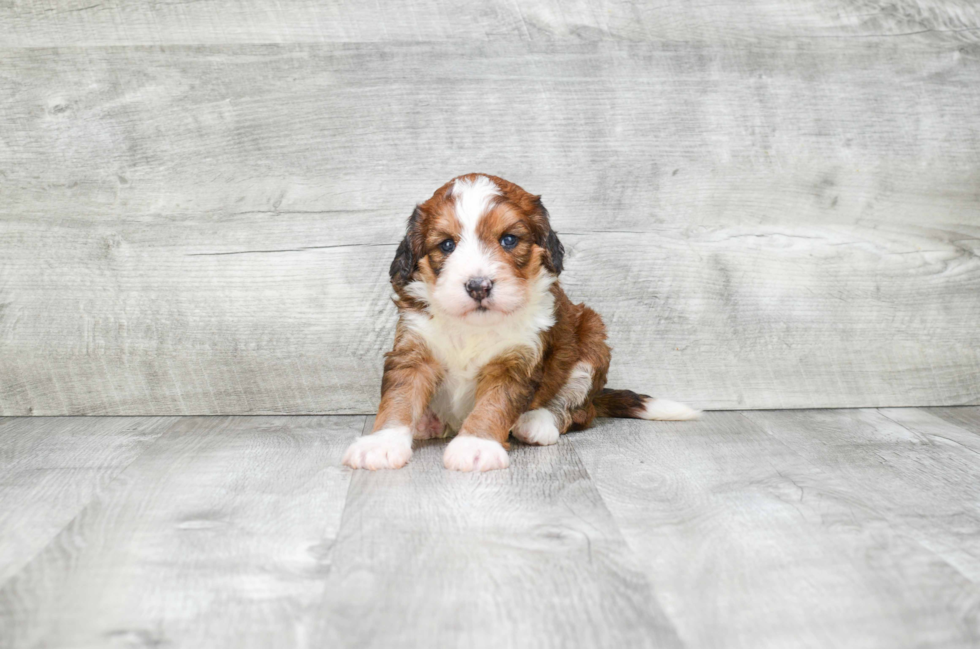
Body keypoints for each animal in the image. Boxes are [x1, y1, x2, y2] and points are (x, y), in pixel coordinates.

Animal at [344, 175, 696, 474]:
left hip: (592, 339)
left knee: (579, 410)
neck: (473, 326)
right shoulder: (413, 349)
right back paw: (428, 422)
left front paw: (475, 446)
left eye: (509, 240)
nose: (479, 286)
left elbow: (494, 404)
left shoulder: (516, 361)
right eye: (447, 245)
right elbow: (400, 396)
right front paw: (381, 444)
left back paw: (536, 422)